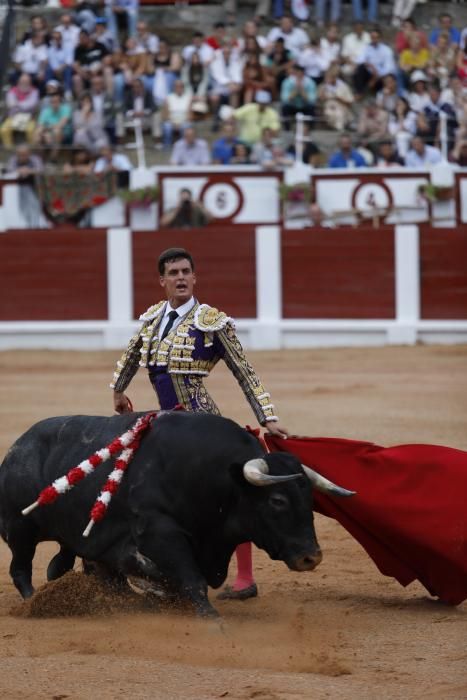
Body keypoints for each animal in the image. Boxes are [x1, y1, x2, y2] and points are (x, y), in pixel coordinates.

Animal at [0, 412, 352, 616]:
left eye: (308, 498)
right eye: (277, 500)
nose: (311, 557)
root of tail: (19, 446)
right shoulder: (159, 531)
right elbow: (190, 579)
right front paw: (209, 619)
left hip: (67, 533)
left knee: (60, 562)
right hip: (20, 530)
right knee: (20, 569)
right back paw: (32, 603)